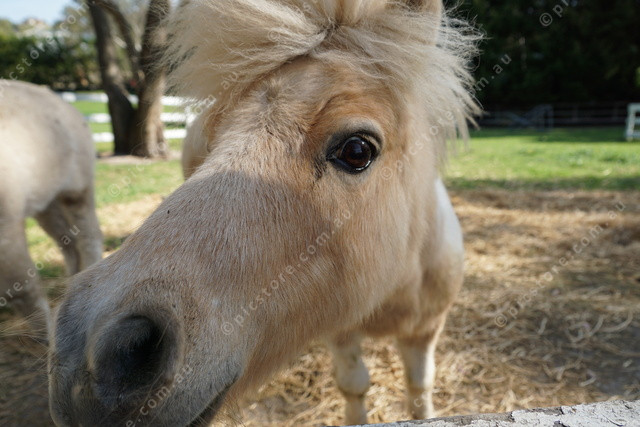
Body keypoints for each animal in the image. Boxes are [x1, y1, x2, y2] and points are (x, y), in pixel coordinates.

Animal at [0, 80, 103, 338]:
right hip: (46, 200)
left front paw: (46, 340)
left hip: (76, 186)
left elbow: (20, 288)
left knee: (89, 237)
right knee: (68, 241)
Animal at [48, 0, 479, 425]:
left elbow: (419, 390)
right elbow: (354, 386)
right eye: (214, 141)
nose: (98, 353)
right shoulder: (340, 331)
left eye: (358, 150)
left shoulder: (426, 331)